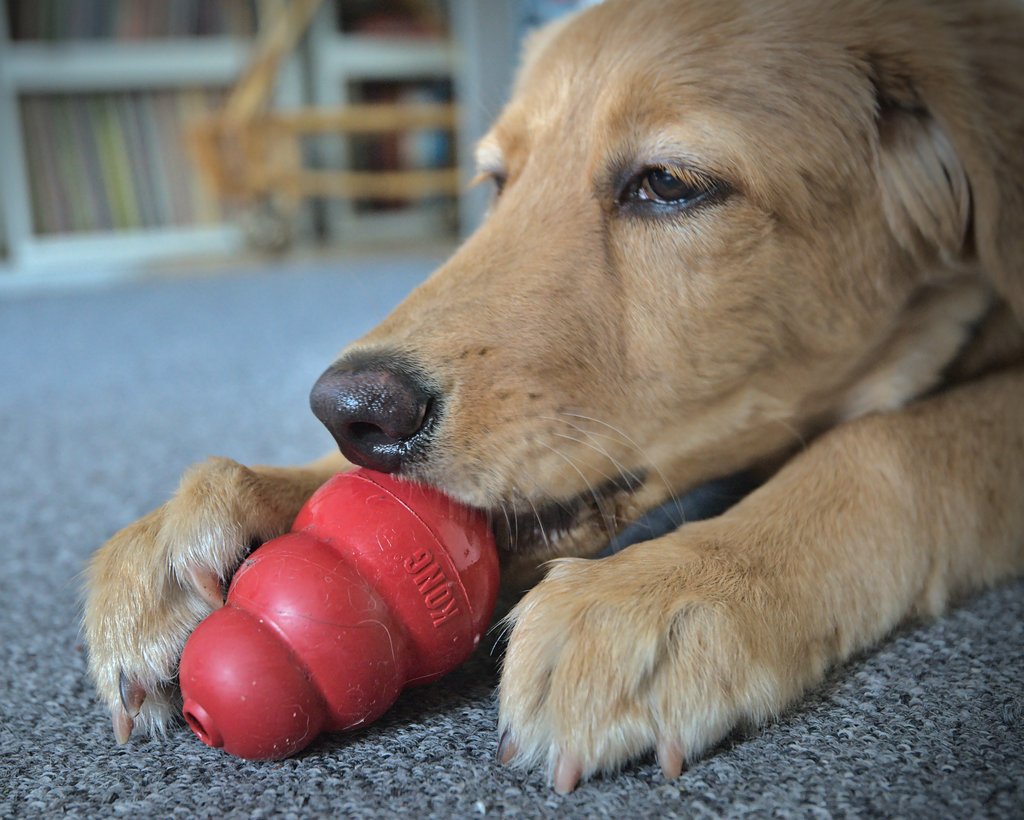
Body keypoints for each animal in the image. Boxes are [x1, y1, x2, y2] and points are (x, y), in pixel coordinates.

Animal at [86, 0, 1024, 794]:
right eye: (500, 183)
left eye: (669, 184)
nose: (350, 411)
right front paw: (213, 513)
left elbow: (887, 441)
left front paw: (672, 589)